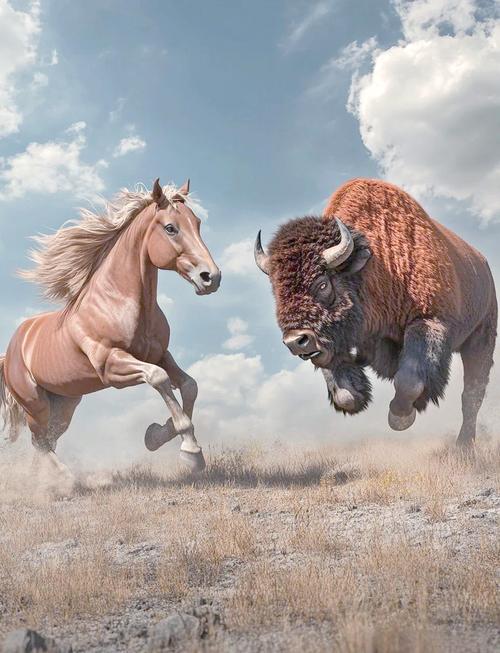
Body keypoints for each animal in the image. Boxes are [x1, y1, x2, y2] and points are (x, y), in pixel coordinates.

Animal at [0, 178, 220, 486]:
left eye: (197, 223)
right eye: (170, 228)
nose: (211, 277)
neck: (117, 301)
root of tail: (11, 351)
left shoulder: (160, 354)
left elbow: (189, 386)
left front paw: (157, 435)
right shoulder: (112, 366)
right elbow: (159, 379)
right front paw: (191, 452)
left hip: (65, 405)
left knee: (47, 440)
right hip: (36, 404)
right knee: (40, 441)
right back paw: (66, 480)